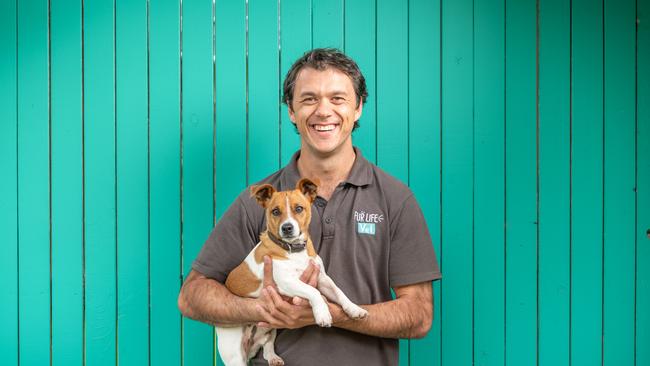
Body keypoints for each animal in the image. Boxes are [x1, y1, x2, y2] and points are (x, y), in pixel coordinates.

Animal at [215, 177, 368, 364]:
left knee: (267, 347)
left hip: (270, 331)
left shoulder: (322, 279)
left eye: (299, 208)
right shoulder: (287, 283)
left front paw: (354, 309)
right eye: (275, 211)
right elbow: (313, 292)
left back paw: (273, 358)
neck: (294, 250)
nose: (287, 227)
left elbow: (339, 292)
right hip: (235, 354)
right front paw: (323, 313)